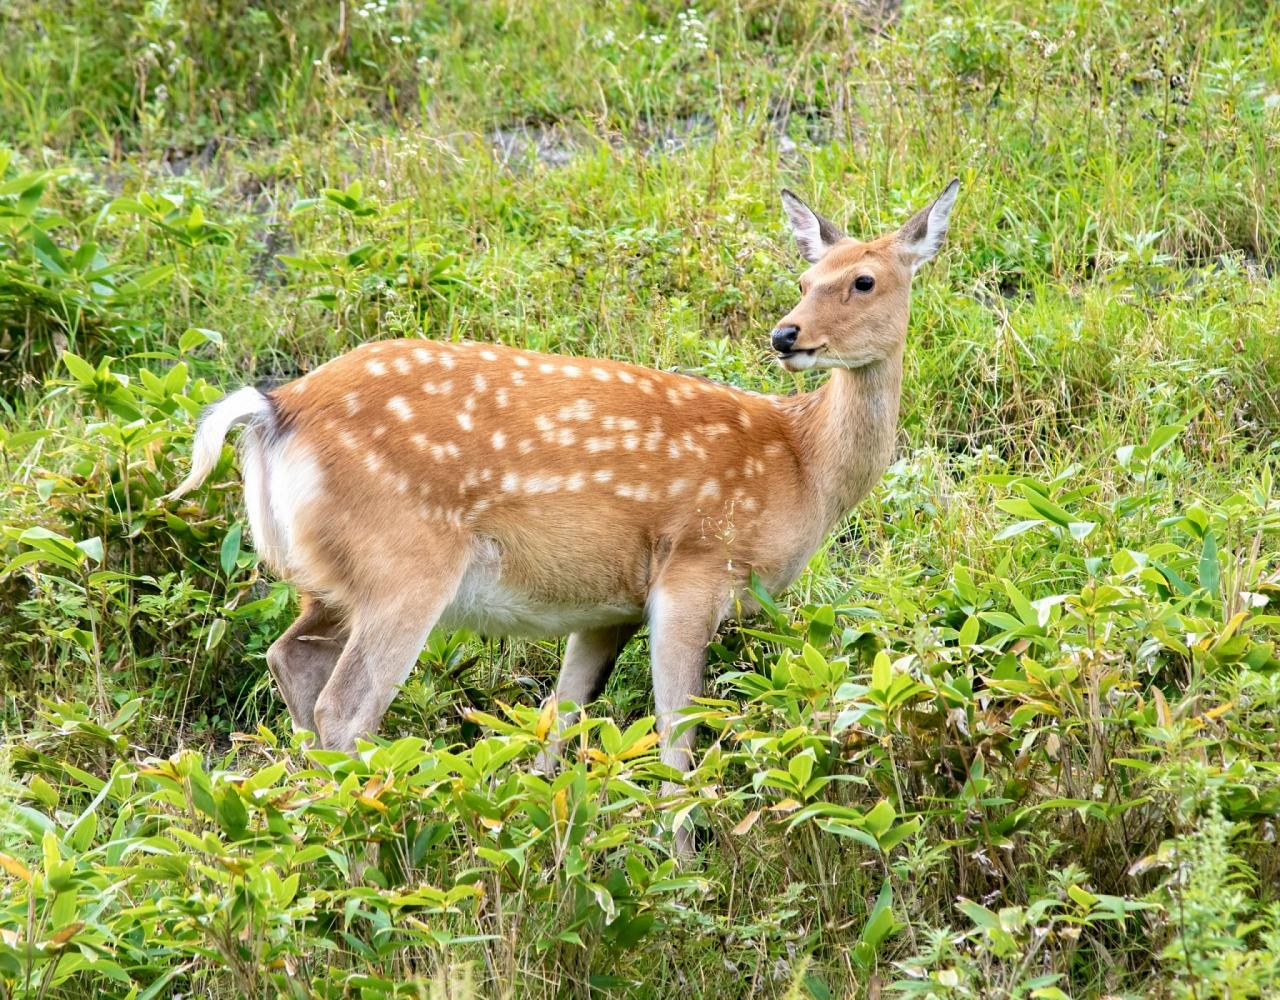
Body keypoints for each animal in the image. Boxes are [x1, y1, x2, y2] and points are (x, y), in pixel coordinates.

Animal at [167, 179, 962, 850]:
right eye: (804, 280)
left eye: (863, 280)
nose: (786, 335)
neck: (801, 465)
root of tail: (274, 410)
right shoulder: (694, 567)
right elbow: (675, 731)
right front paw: (682, 865)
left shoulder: (609, 603)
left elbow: (561, 715)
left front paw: (539, 827)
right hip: (405, 564)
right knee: (345, 707)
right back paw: (364, 848)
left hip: (332, 579)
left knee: (290, 657)